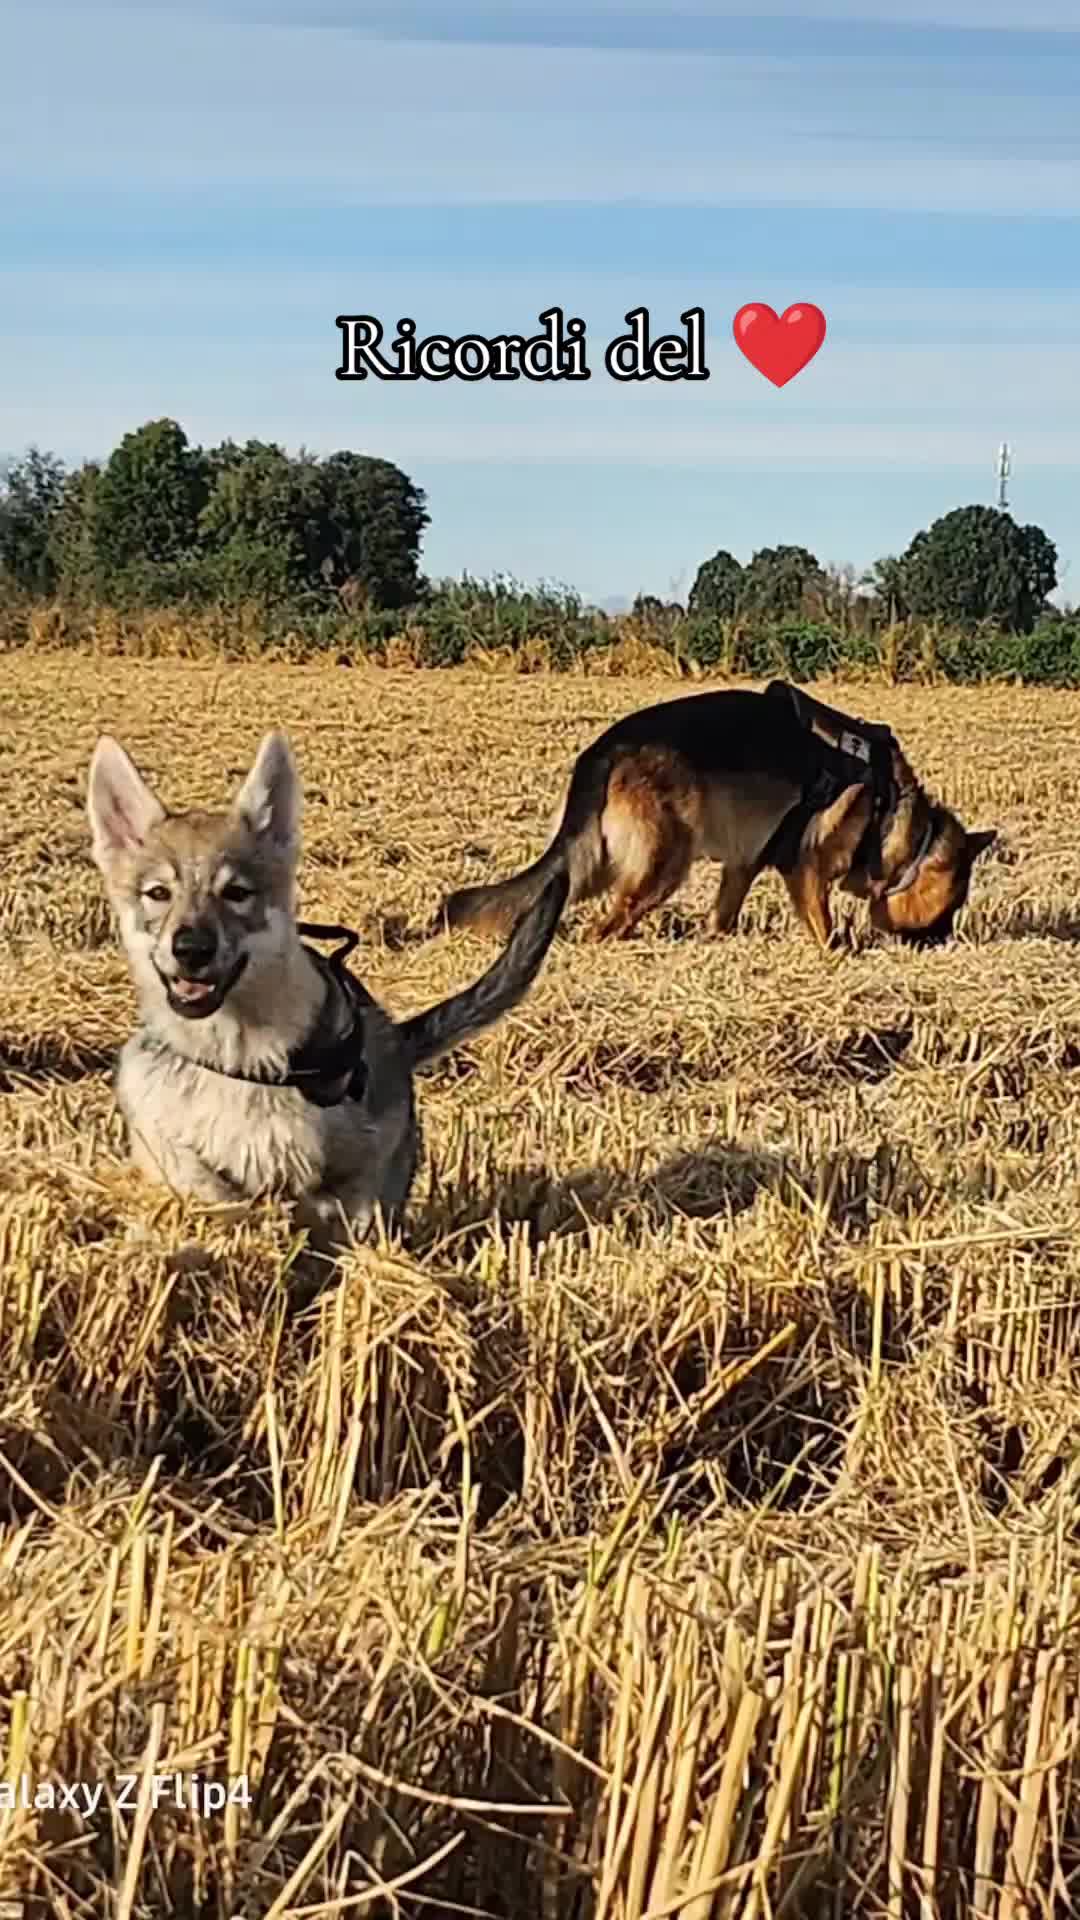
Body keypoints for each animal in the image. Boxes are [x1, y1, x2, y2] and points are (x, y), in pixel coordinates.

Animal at [87, 730, 567, 1253]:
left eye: (236, 893)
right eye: (158, 893)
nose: (191, 948)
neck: (236, 1056)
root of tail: (396, 1037)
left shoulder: (357, 1164)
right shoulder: (164, 1131)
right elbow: (199, 1177)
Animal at [440, 682, 995, 951]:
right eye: (953, 904)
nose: (945, 945)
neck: (894, 814)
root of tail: (606, 748)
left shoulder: (744, 864)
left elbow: (724, 913)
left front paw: (717, 943)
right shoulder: (806, 868)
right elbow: (825, 927)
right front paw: (838, 957)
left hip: (591, 865)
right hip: (662, 866)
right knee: (607, 923)